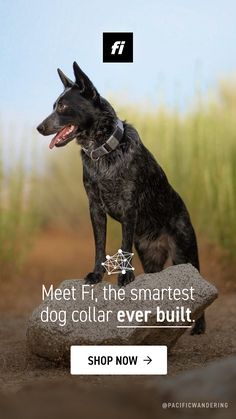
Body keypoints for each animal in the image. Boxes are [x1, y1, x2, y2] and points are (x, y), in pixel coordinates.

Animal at [37, 62, 205, 336]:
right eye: (53, 105)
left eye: (62, 107)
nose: (39, 127)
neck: (103, 151)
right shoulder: (95, 209)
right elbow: (99, 247)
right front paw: (96, 275)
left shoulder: (128, 208)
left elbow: (124, 246)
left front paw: (124, 277)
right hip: (150, 258)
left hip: (185, 252)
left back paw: (199, 327)